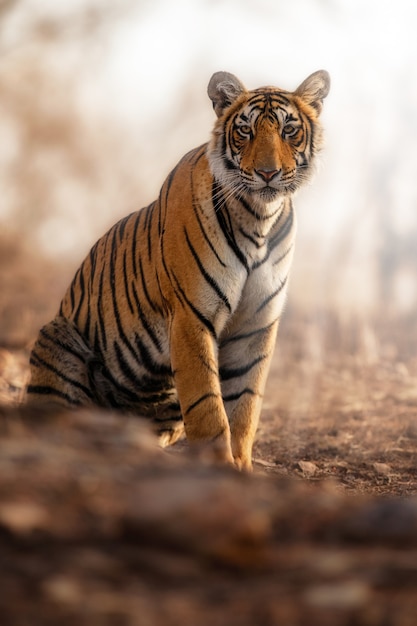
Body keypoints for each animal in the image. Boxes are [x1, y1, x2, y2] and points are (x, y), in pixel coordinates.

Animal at [27, 69, 330, 468]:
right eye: (245, 131)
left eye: (288, 130)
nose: (268, 173)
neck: (259, 218)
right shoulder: (191, 315)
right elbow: (208, 407)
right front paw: (220, 469)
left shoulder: (256, 325)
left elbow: (245, 405)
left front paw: (242, 468)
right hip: (58, 336)